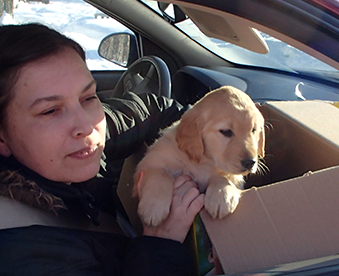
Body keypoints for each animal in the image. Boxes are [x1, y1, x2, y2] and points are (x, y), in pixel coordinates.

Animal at [135, 85, 266, 226]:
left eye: (254, 130)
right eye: (226, 131)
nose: (250, 162)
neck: (205, 162)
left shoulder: (236, 177)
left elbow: (224, 176)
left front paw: (221, 195)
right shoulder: (148, 163)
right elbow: (161, 174)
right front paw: (154, 207)